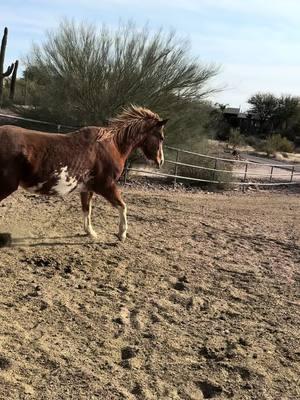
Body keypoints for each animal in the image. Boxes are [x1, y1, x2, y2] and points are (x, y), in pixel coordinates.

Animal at [0, 105, 166, 241]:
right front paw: (121, 234)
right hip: (6, 186)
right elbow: (122, 206)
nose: (161, 161)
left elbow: (87, 209)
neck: (112, 145)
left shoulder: (87, 188)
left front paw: (90, 233)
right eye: (161, 137)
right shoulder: (106, 186)